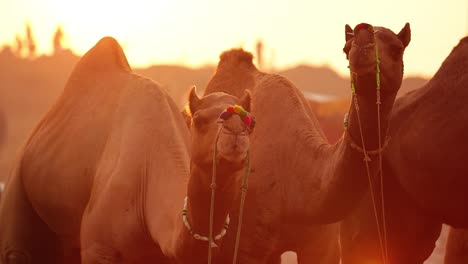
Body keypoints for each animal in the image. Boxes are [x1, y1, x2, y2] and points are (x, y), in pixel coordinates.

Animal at [0, 36, 256, 262]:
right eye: (200, 121)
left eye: (251, 123)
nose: (235, 131)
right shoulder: (97, 247)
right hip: (17, 187)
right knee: (16, 251)